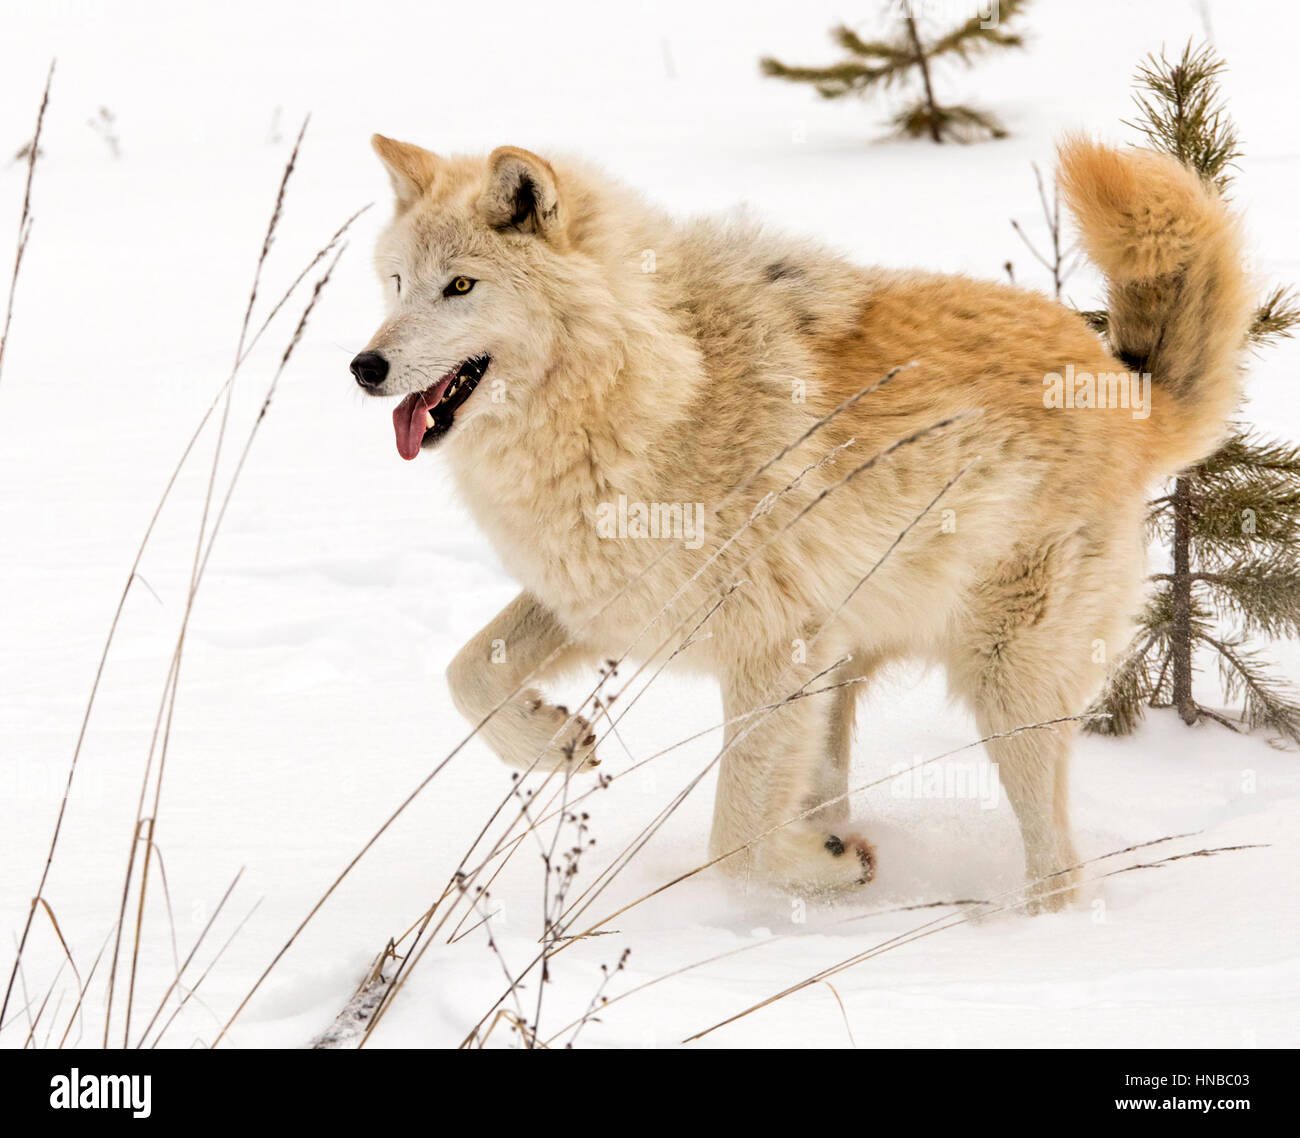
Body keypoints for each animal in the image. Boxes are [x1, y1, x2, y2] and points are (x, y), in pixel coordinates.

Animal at [351, 134, 1251, 907]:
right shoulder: (602, 601)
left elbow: (734, 842)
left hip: (1003, 684)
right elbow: (468, 673)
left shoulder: (772, 648)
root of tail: (1126, 390)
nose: (365, 366)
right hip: (849, 672)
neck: (651, 384)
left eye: (460, 287)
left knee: (1058, 868)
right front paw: (556, 743)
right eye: (395, 283)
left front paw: (828, 869)